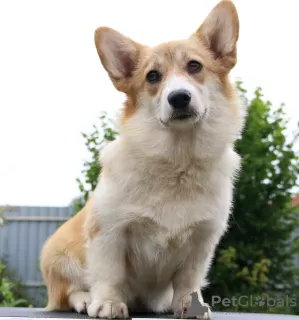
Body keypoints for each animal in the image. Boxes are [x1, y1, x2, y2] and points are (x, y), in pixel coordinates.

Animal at [40, 1, 246, 318]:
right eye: (152, 76)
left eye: (195, 66)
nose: (179, 98)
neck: (178, 159)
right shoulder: (109, 232)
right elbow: (110, 274)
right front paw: (108, 303)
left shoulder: (202, 240)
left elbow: (189, 280)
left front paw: (188, 305)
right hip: (58, 254)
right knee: (68, 292)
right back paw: (85, 300)